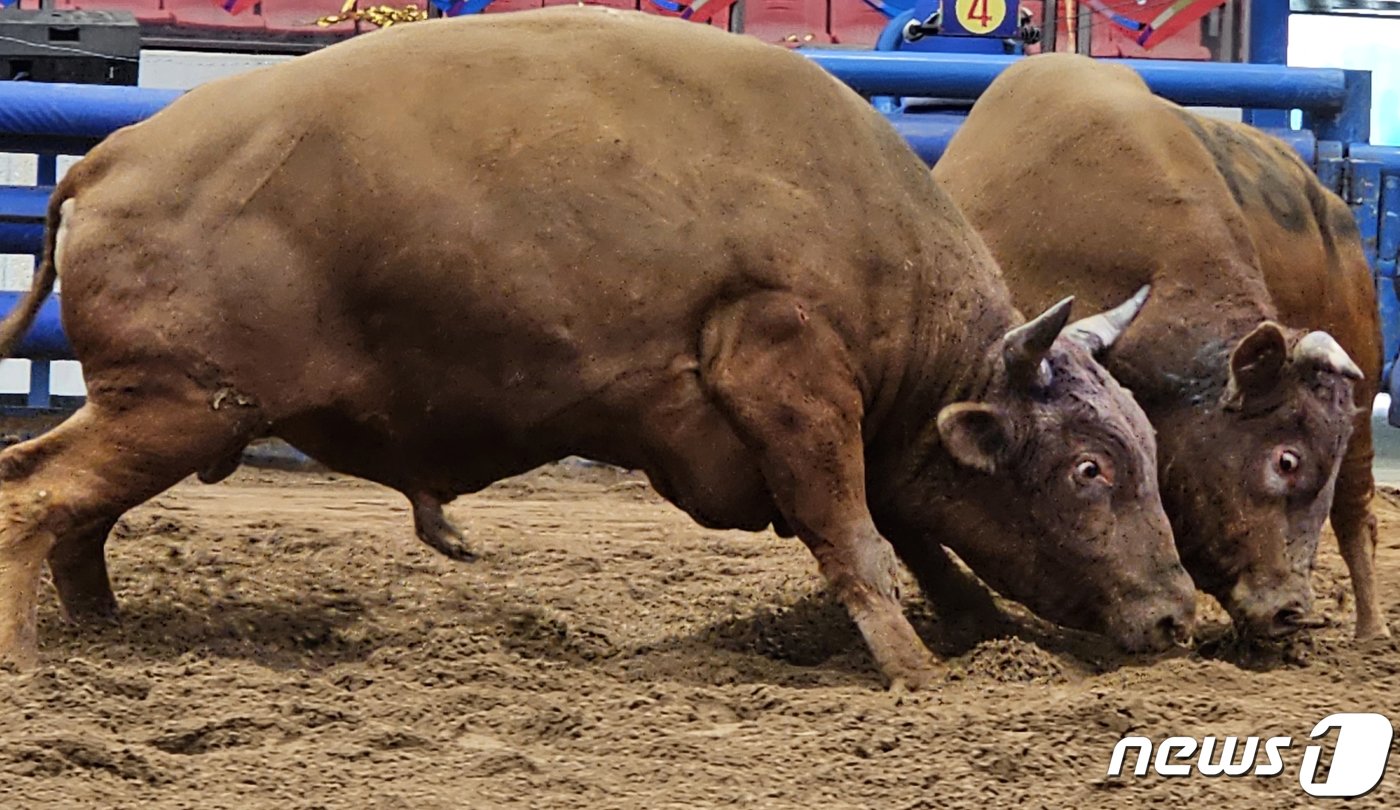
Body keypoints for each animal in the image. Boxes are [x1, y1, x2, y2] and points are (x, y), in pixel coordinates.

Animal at [0, 12, 1192, 685]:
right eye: (1091, 468)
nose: (1178, 615)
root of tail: (104, 162)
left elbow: (914, 531)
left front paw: (981, 633)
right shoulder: (787, 373)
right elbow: (855, 537)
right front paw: (918, 678)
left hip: (171, 413)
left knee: (71, 513)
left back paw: (110, 635)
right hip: (175, 405)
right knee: (36, 494)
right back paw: (34, 657)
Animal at [935, 53, 1383, 643]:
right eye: (1287, 459)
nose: (1290, 610)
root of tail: (1329, 201)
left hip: (1364, 390)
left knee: (1358, 515)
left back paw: (1371, 632)